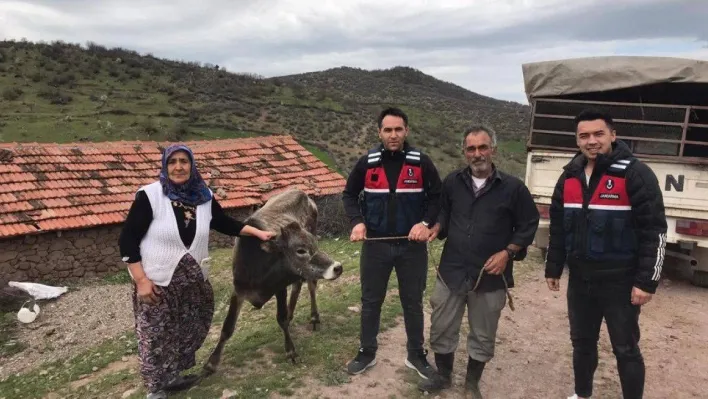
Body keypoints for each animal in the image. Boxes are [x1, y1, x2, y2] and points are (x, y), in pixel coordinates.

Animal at [202, 189, 342, 376]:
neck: (256, 267)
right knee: (298, 286)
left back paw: (314, 317)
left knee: (311, 285)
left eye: (314, 246)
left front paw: (291, 352)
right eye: (300, 250)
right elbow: (227, 327)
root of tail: (301, 192)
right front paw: (211, 363)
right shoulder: (238, 290)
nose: (338, 267)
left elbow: (280, 318)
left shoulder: (279, 287)